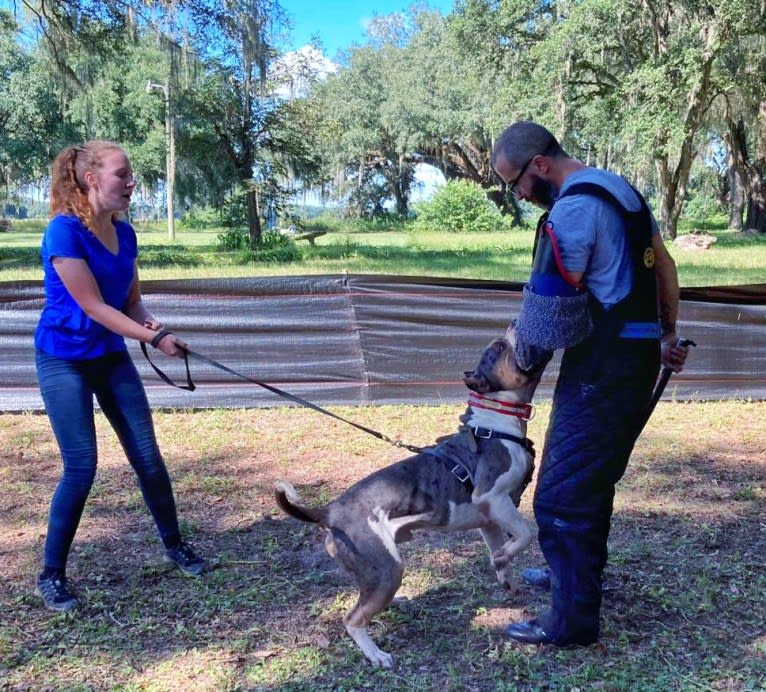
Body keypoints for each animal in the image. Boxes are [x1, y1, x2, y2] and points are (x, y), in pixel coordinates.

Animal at [276, 332, 540, 668]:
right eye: (499, 348)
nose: (511, 330)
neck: (494, 425)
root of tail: (328, 512)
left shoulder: (489, 519)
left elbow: (502, 552)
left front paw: (504, 570)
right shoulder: (493, 498)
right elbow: (526, 532)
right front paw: (505, 556)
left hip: (377, 573)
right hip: (388, 569)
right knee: (353, 619)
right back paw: (376, 654)